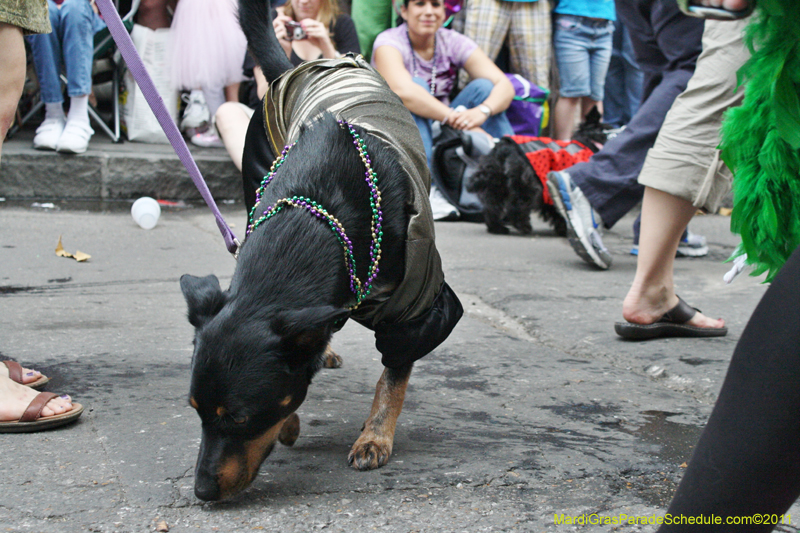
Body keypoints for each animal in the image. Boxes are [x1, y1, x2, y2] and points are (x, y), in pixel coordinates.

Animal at [177, 0, 460, 500]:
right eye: (194, 410)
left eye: (241, 419)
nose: (203, 492)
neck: (317, 212)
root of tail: (298, 65)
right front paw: (291, 420)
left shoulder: (417, 304)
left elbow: (393, 378)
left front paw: (375, 436)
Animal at [466, 106, 608, 235]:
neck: (590, 141)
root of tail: (504, 147)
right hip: (525, 185)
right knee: (517, 205)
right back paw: (523, 226)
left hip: (497, 184)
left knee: (492, 207)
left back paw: (497, 228)